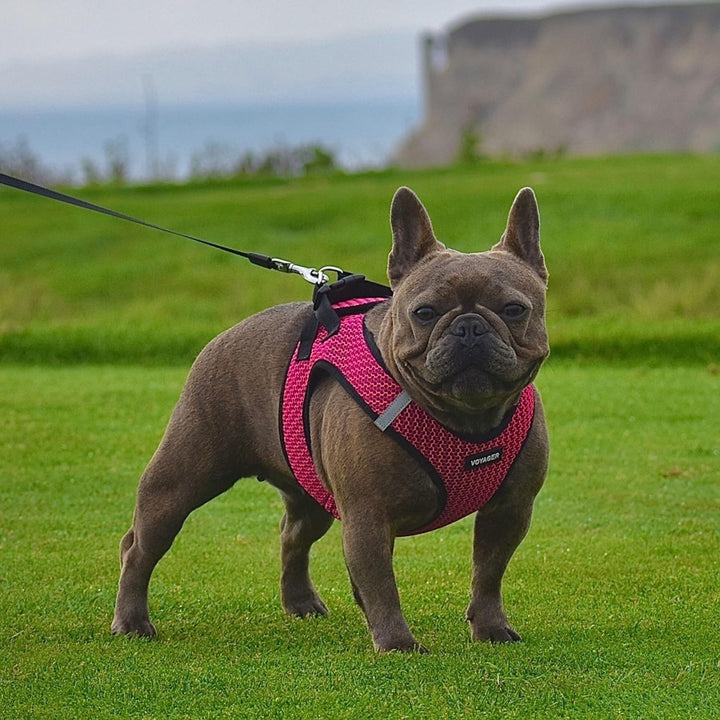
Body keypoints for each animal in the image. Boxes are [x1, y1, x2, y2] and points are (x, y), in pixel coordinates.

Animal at [111, 186, 552, 652]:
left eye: (514, 309)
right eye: (425, 313)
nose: (468, 326)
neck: (465, 417)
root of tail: (225, 335)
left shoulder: (509, 510)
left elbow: (488, 573)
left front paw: (490, 628)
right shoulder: (368, 516)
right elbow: (381, 583)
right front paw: (397, 643)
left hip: (311, 497)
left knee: (292, 535)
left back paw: (301, 602)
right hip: (180, 478)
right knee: (139, 547)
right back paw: (132, 621)